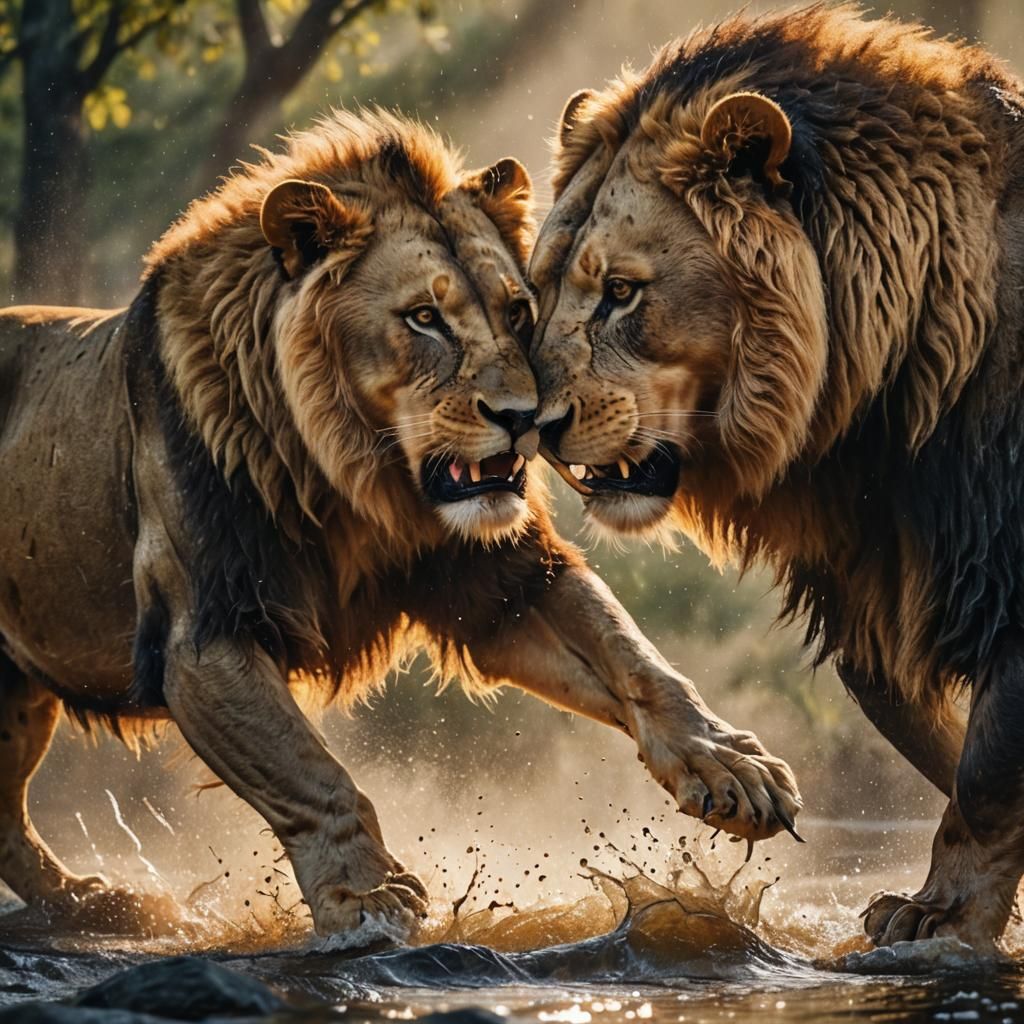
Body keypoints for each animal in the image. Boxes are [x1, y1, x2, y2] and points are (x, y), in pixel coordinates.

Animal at [0, 110, 801, 939]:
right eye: (424, 319)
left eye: (518, 312)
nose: (524, 419)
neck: (359, 485)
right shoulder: (204, 634)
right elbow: (313, 775)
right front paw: (367, 898)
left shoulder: (500, 584)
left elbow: (630, 653)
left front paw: (726, 760)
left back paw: (94, 903)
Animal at [528, 5, 1024, 950]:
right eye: (537, 291)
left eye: (621, 292)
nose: (534, 426)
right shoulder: (876, 582)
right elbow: (947, 754)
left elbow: (984, 777)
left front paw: (937, 918)